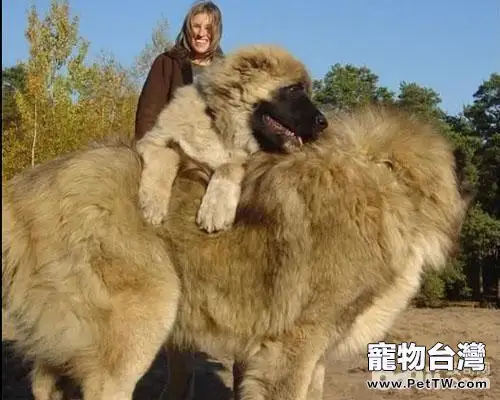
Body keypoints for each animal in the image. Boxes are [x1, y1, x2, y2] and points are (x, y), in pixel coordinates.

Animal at [136, 43, 328, 231]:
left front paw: (215, 208)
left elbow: (228, 167)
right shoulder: (151, 141)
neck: (221, 126)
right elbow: (167, 155)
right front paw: (152, 204)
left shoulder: (244, 161)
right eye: (293, 89)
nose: (324, 123)